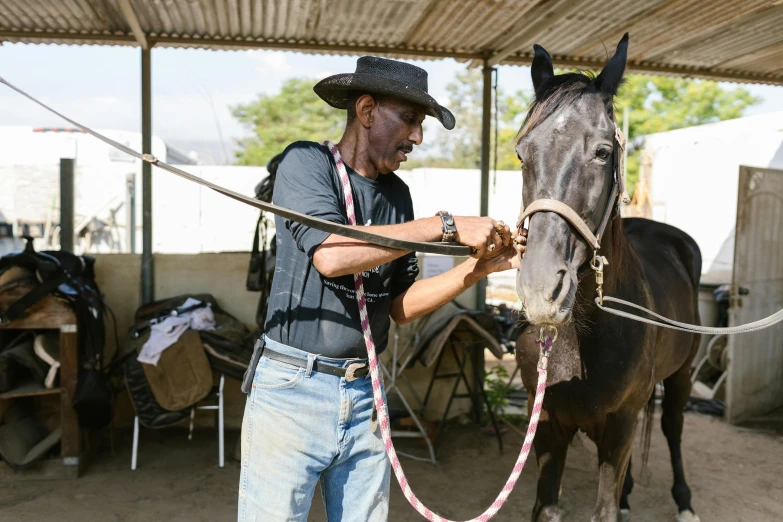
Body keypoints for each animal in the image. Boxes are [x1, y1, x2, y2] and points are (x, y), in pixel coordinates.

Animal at [516, 32, 704, 520]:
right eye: (522, 153)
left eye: (602, 152)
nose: (541, 289)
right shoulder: (548, 426)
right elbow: (547, 506)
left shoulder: (619, 428)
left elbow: (604, 509)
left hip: (682, 376)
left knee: (673, 427)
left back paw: (684, 500)